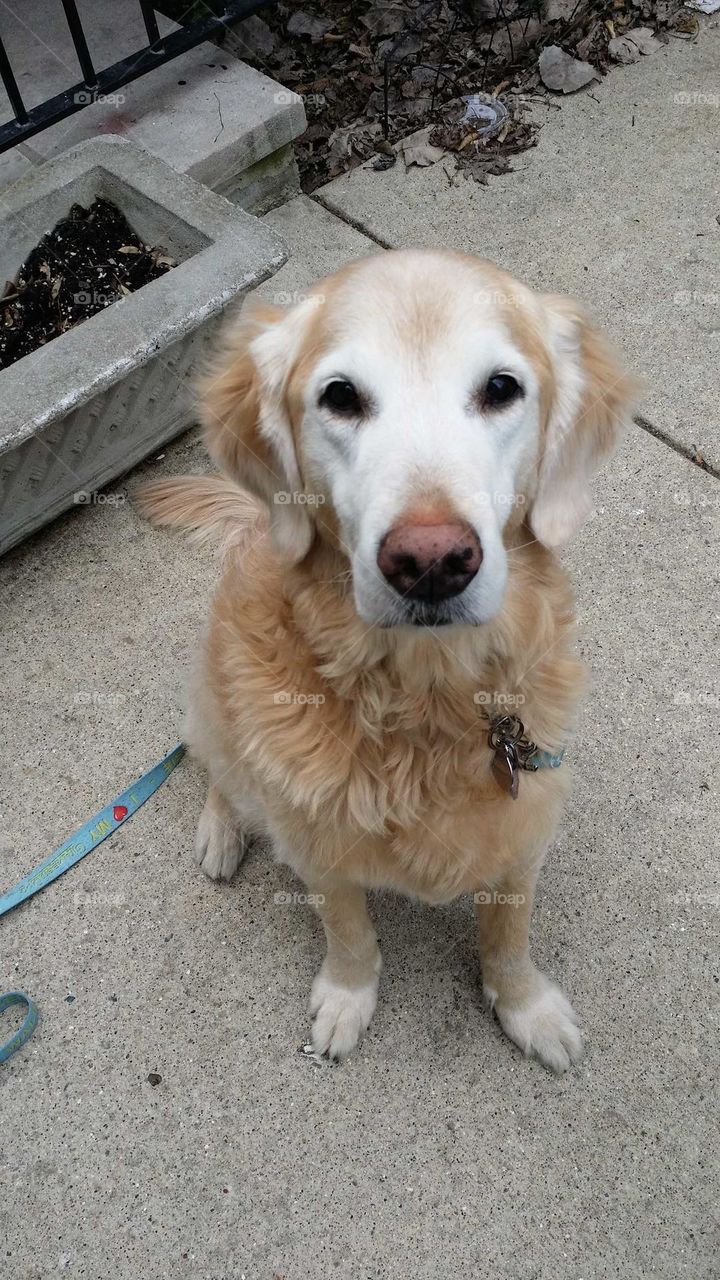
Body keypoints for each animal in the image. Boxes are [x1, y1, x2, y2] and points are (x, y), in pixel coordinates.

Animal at [139, 249, 637, 1072]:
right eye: (340, 397)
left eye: (502, 388)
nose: (431, 561)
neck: (423, 698)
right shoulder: (318, 849)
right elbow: (350, 934)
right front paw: (347, 999)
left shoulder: (524, 824)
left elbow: (509, 935)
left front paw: (525, 1006)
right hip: (217, 708)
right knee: (212, 764)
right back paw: (221, 832)